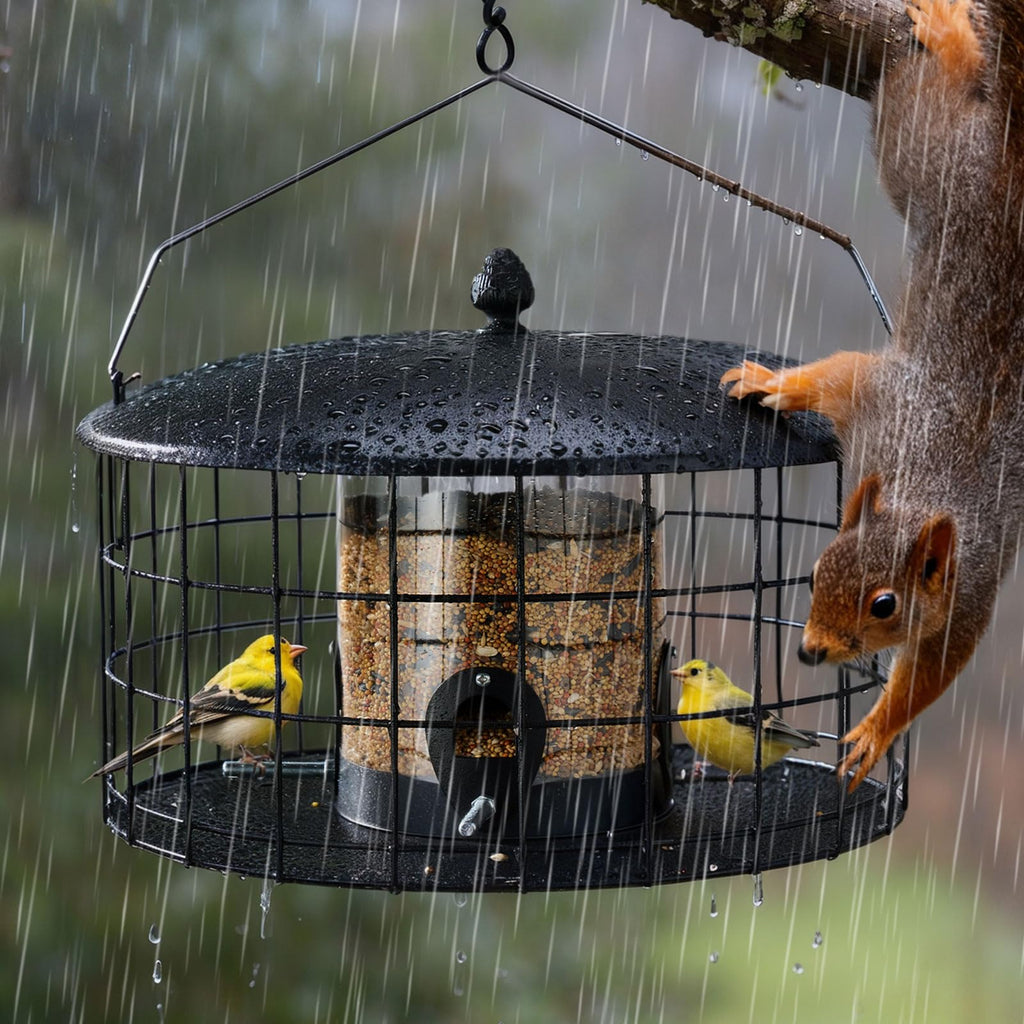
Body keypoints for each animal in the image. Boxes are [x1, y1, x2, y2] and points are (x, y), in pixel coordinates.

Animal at [720, 0, 1024, 791]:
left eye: (885, 605)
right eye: (816, 568)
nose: (808, 653)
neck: (921, 486)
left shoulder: (969, 589)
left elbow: (934, 672)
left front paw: (873, 733)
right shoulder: (884, 398)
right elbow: (838, 375)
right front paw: (770, 382)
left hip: (934, 152)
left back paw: (952, 36)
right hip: (933, 159)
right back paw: (952, 30)